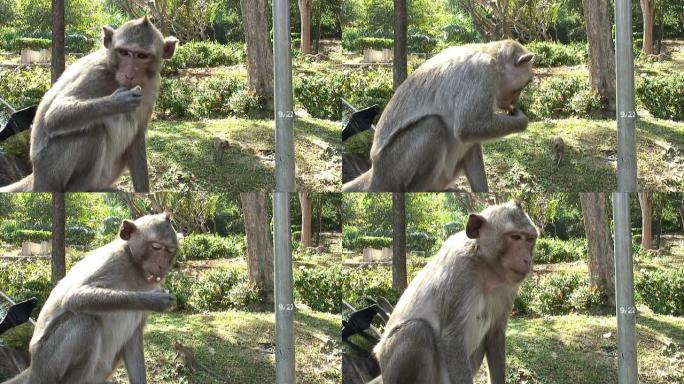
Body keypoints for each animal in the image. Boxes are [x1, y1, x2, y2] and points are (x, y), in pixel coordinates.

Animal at [0, 17, 179, 192]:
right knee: (93, 131)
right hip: (50, 171)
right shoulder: (96, 72)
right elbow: (54, 116)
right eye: (124, 53)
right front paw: (118, 101)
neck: (114, 74)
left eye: (142, 56)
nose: (129, 74)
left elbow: (138, 136)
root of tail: (35, 177)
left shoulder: (153, 85)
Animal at [2, 213, 179, 384]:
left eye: (170, 251)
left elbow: (134, 338)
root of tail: (32, 369)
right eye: (156, 247)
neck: (134, 268)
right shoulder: (113, 261)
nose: (163, 266)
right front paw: (156, 300)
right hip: (47, 366)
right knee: (85, 324)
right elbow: (74, 298)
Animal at [342, 40, 536, 194]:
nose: (515, 100)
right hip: (391, 171)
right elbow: (467, 126)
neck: (492, 56)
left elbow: (470, 137)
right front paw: (522, 120)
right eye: (525, 83)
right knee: (433, 126)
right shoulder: (482, 72)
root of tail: (374, 173)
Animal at [372, 201, 536, 384]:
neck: (484, 267)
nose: (527, 260)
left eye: (530, 239)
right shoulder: (461, 272)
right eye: (515, 237)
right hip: (391, 362)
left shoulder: (508, 285)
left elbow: (495, 333)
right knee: (417, 330)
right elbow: (452, 338)